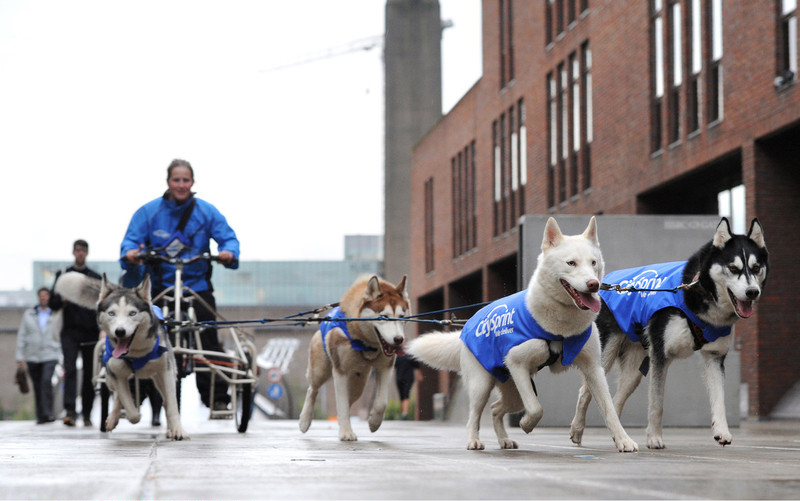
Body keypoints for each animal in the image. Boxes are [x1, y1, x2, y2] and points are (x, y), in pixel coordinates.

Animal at [406, 217, 636, 452]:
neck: (562, 326)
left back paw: (504, 439)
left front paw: (623, 440)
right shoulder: (517, 363)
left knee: (496, 408)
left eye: (593, 263)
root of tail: (468, 324)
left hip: (513, 391)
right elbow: (535, 408)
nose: (594, 284)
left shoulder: (594, 369)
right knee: (475, 414)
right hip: (483, 385)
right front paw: (526, 424)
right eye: (571, 263)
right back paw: (474, 440)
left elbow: (609, 408)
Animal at [568, 217, 768, 448]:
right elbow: (657, 401)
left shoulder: (714, 357)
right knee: (586, 391)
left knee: (614, 399)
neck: (697, 291)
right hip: (605, 355)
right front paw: (654, 437)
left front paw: (722, 431)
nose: (752, 292)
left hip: (636, 368)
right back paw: (577, 430)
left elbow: (719, 399)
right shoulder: (660, 355)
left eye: (756, 267)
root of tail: (604, 283)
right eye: (733, 268)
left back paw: (618, 435)